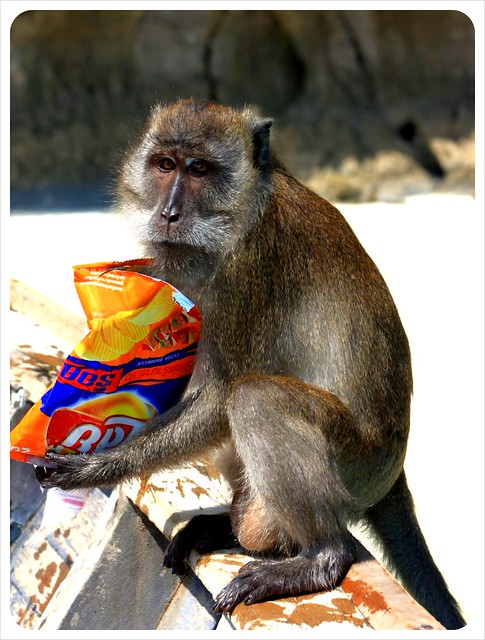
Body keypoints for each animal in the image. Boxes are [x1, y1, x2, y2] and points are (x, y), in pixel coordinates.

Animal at [42, 98, 465, 630]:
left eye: (199, 170)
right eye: (165, 165)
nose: (169, 213)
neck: (245, 208)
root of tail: (394, 471)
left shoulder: (249, 266)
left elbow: (220, 397)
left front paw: (94, 467)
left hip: (357, 464)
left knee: (256, 399)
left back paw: (319, 558)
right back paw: (230, 529)